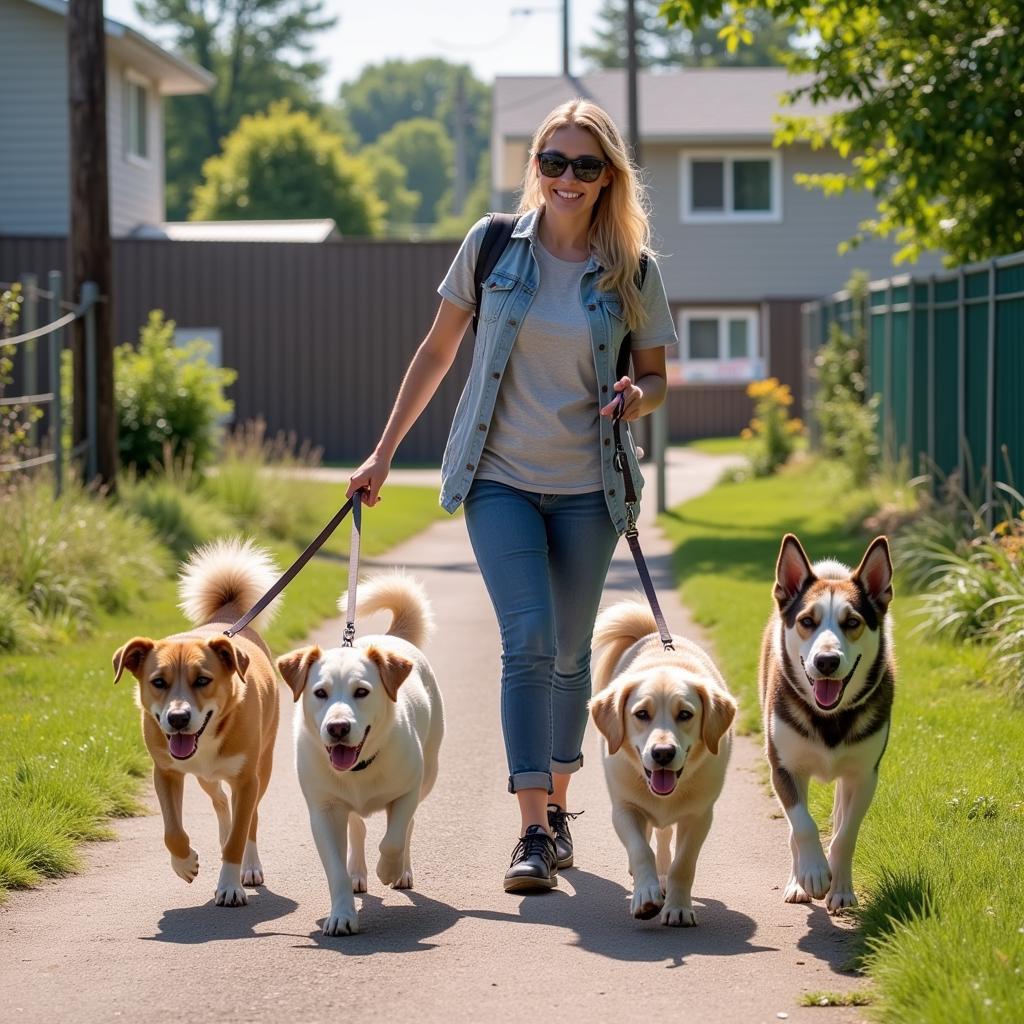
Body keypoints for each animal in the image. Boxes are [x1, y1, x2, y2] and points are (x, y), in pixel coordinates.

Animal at [113, 536, 280, 905]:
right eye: (158, 681)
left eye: (203, 680)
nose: (177, 718)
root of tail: (228, 616)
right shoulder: (165, 772)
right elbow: (172, 830)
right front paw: (185, 863)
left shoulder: (247, 780)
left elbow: (239, 835)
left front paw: (230, 884)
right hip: (207, 778)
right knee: (221, 802)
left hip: (262, 765)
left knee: (251, 818)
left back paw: (249, 865)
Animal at [278, 573, 442, 937]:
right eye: (320, 692)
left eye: (362, 692)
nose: (338, 727)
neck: (360, 767)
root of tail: (391, 637)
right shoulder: (323, 811)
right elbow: (335, 871)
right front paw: (342, 914)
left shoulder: (408, 791)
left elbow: (393, 839)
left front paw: (388, 870)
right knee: (357, 826)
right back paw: (357, 873)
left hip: (429, 776)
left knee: (407, 826)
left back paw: (401, 871)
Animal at [593, 598, 737, 929]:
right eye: (641, 714)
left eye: (685, 714)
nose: (662, 753)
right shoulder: (624, 809)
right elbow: (639, 850)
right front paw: (645, 895)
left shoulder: (699, 816)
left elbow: (682, 864)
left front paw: (679, 907)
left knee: (664, 837)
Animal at [761, 536, 897, 913]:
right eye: (807, 620)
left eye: (852, 622)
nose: (826, 661)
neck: (830, 717)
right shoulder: (784, 767)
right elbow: (802, 825)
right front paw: (813, 874)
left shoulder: (864, 775)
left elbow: (845, 834)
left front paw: (841, 888)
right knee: (795, 829)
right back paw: (798, 880)